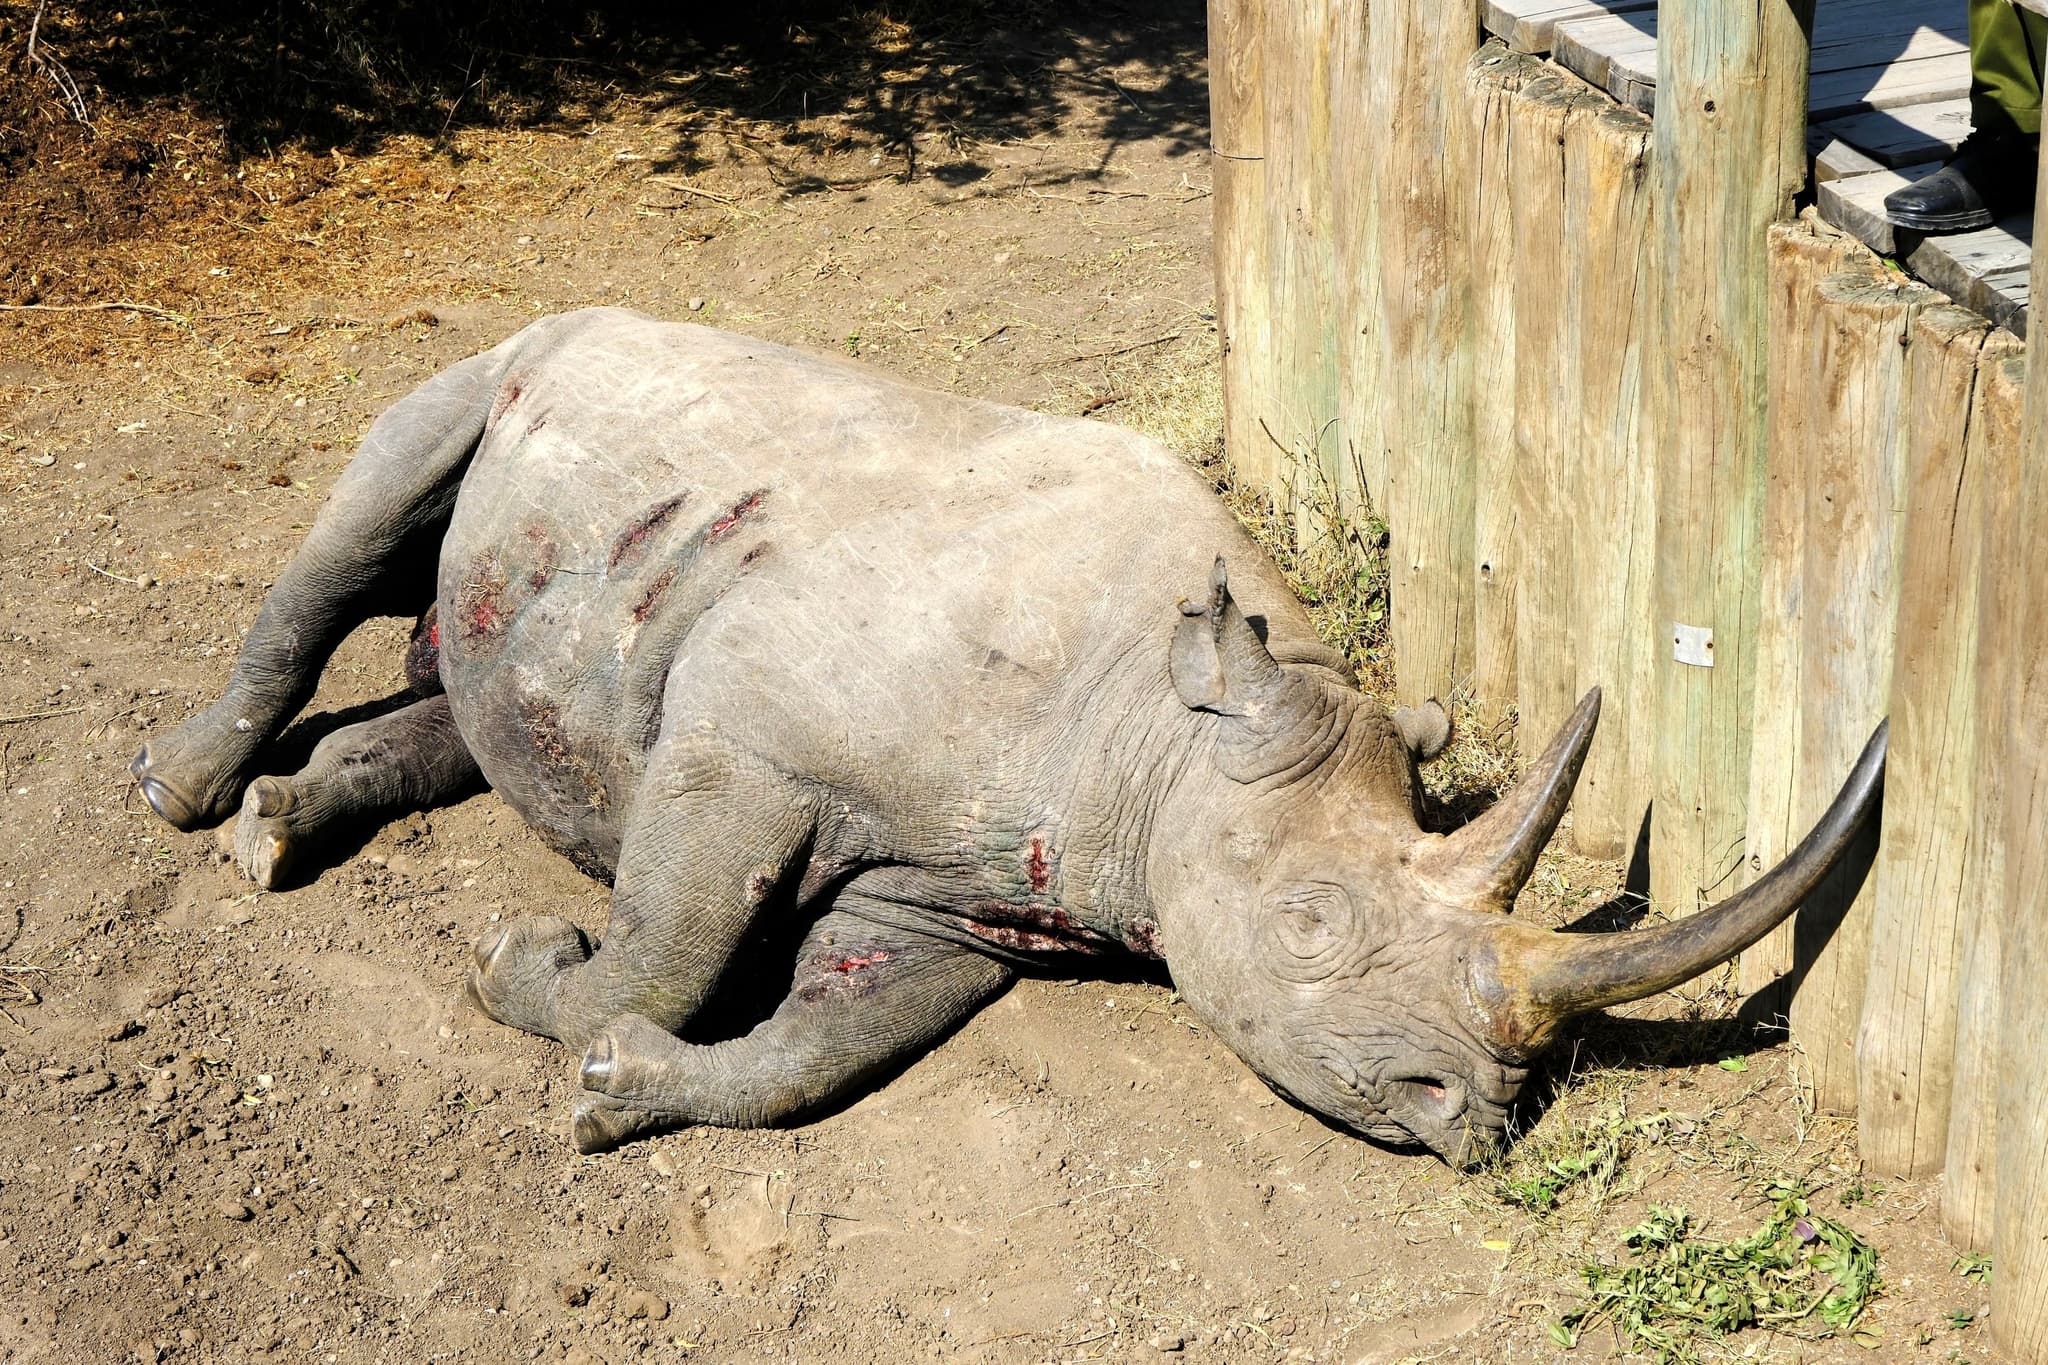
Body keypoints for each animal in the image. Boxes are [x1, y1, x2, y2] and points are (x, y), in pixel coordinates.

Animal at [130, 309, 1885, 1161]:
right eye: (1312, 925)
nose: (1480, 1121)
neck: (1164, 731)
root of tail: (582, 309)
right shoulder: (744, 741)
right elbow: (673, 945)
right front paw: (527, 973)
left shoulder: (954, 902)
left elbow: (825, 1048)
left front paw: (620, 1092)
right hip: (527, 353)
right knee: (375, 509)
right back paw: (182, 793)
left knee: (490, 688)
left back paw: (274, 830)